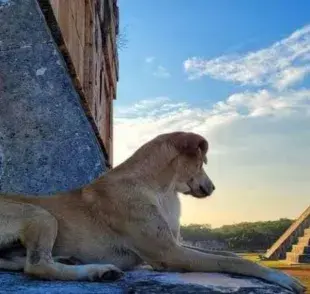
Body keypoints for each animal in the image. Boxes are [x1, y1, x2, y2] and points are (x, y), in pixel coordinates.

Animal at [0, 132, 306, 292]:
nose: (213, 187)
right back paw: (97, 271)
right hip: (40, 215)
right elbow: (236, 263)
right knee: (37, 266)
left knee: (24, 263)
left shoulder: (175, 244)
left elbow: (231, 256)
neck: (159, 189)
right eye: (202, 162)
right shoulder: (169, 253)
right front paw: (284, 278)